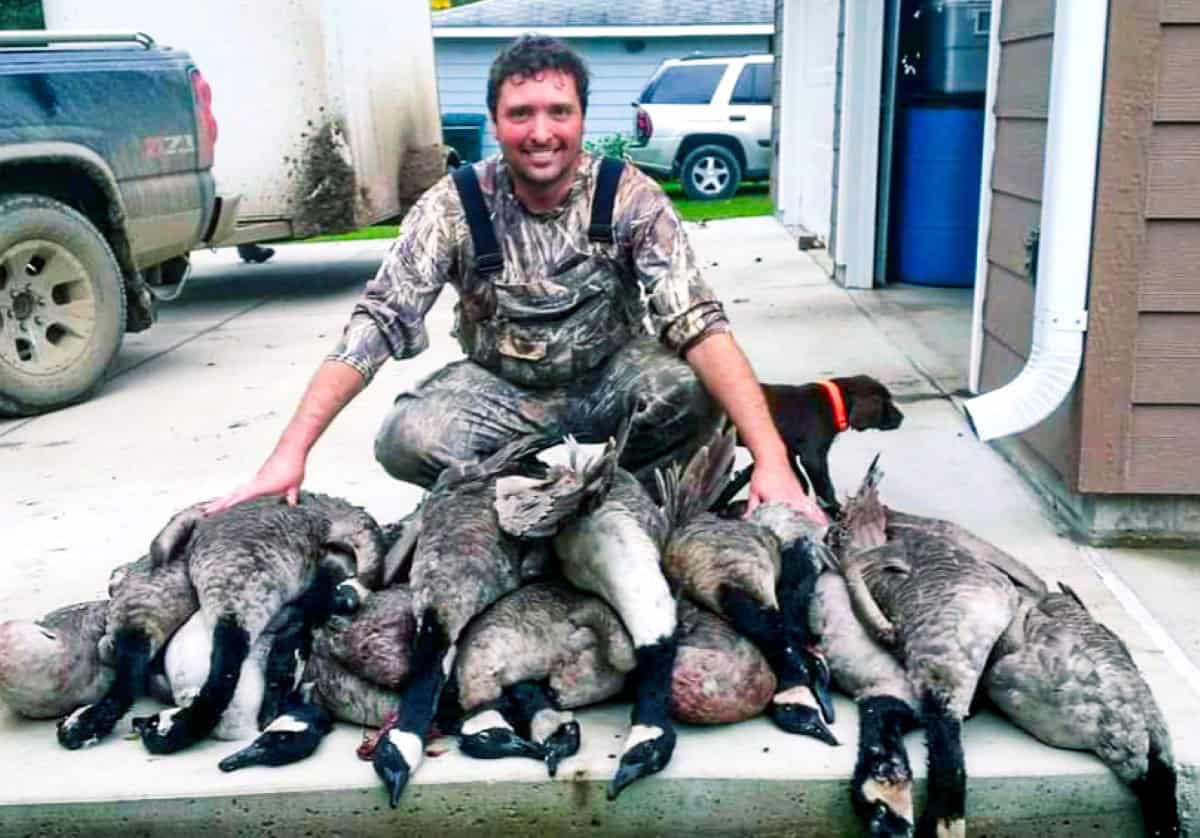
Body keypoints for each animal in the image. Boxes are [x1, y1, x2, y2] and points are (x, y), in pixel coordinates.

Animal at [710, 374, 902, 516]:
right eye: (887, 402)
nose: (902, 418)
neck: (835, 403)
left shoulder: (788, 451)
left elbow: (799, 480)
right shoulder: (813, 456)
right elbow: (824, 486)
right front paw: (834, 509)